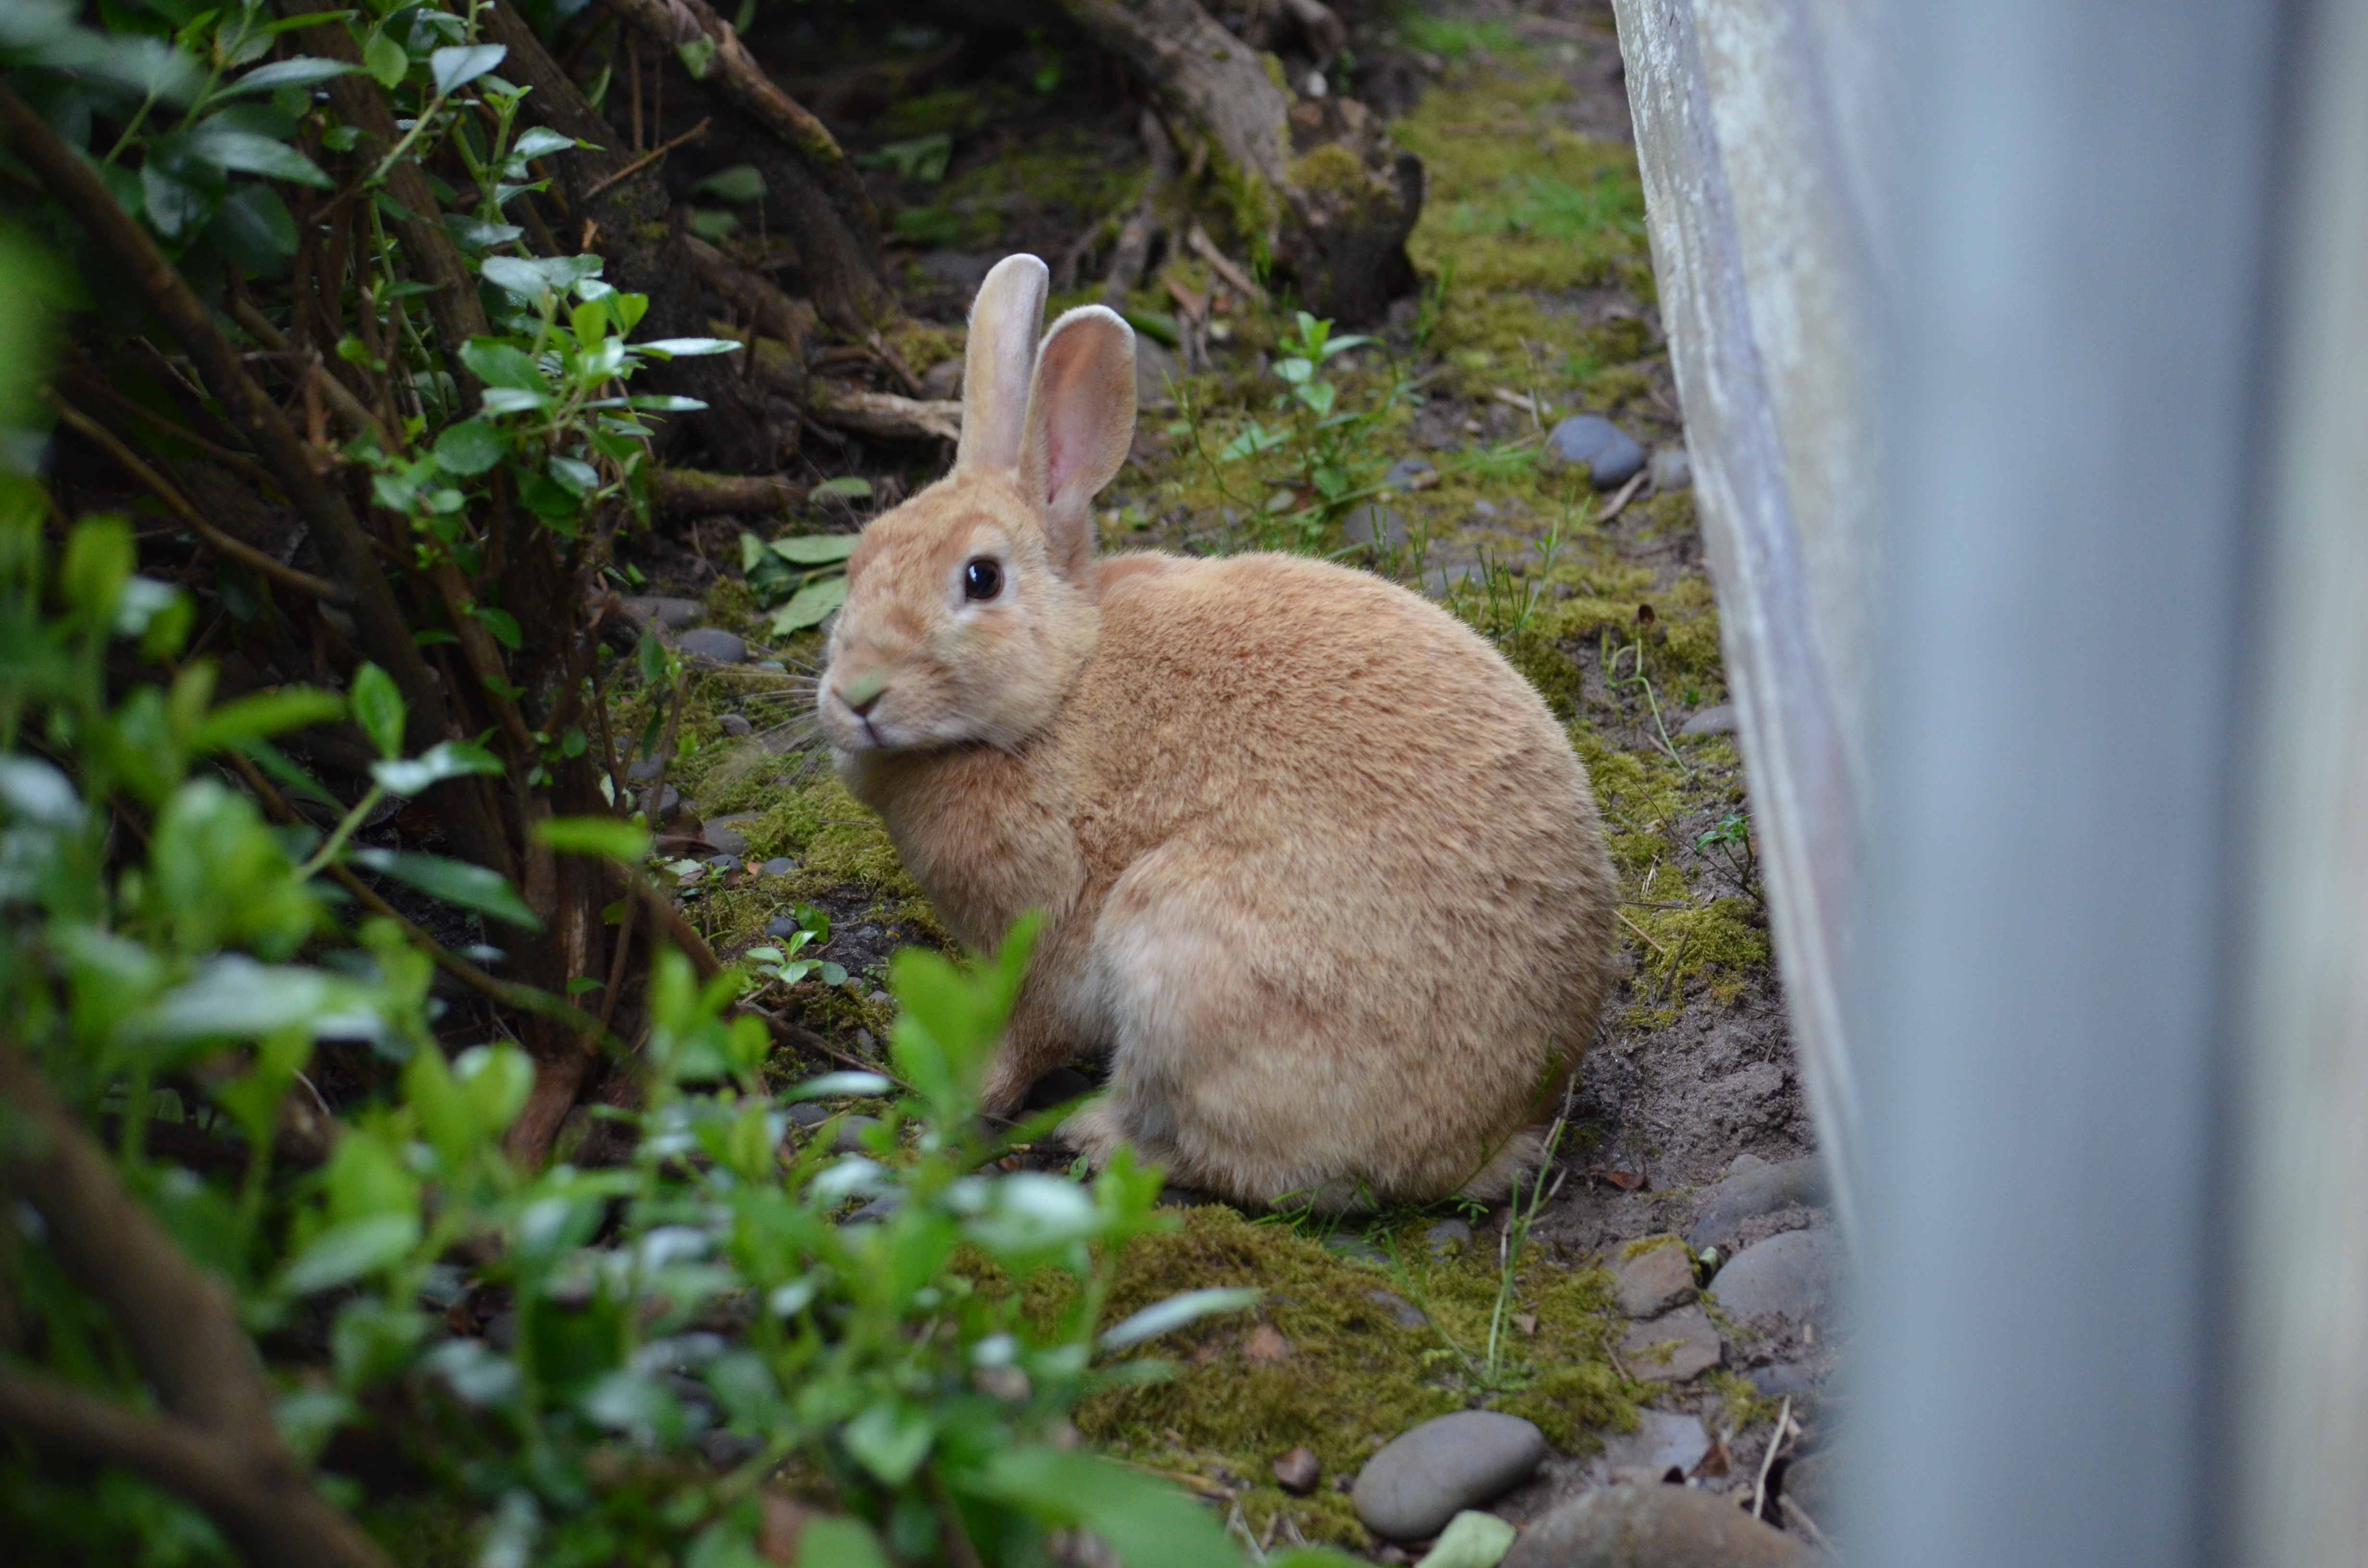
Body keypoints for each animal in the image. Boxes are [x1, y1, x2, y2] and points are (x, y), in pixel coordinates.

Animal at [817, 253, 1618, 1211]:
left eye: (981, 579)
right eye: (860, 557)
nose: (855, 694)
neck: (1059, 691)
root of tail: (1496, 1133)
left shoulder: (1045, 933)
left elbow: (1026, 1034)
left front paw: (954, 1101)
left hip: (1183, 966)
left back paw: (1101, 1135)